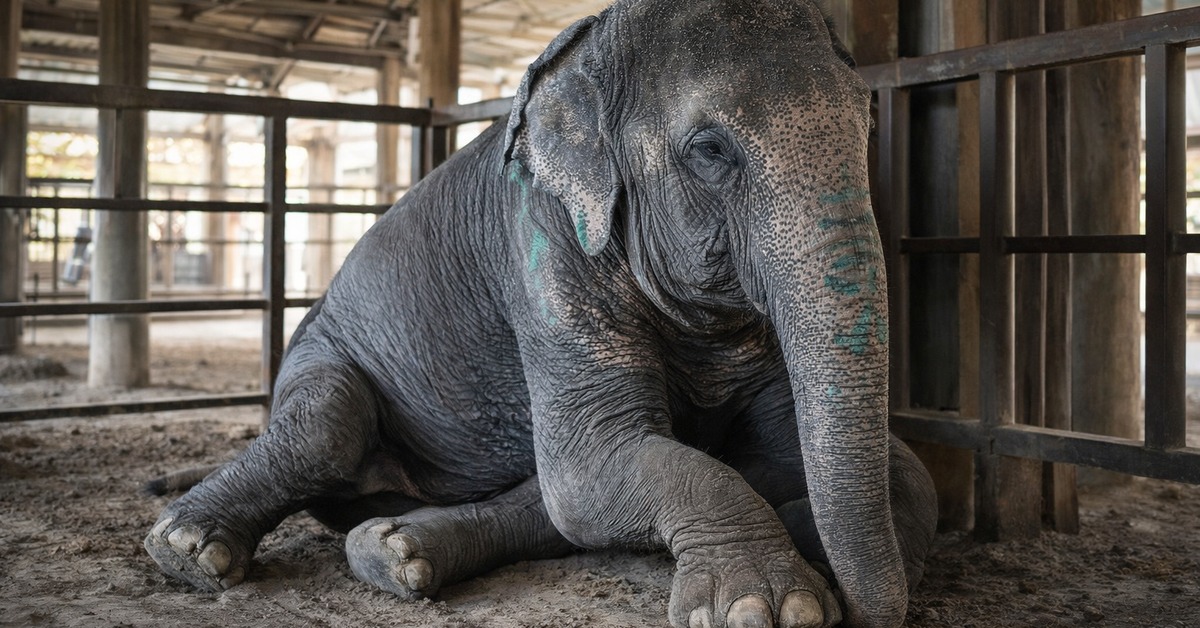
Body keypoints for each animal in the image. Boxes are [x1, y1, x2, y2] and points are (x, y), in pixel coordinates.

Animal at [143, 1, 938, 626]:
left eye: (868, 127)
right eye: (711, 149)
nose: (859, 606)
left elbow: (855, 460)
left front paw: (800, 540)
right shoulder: (544, 246)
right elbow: (590, 467)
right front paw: (771, 607)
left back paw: (395, 549)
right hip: (320, 350)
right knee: (325, 426)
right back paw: (188, 552)